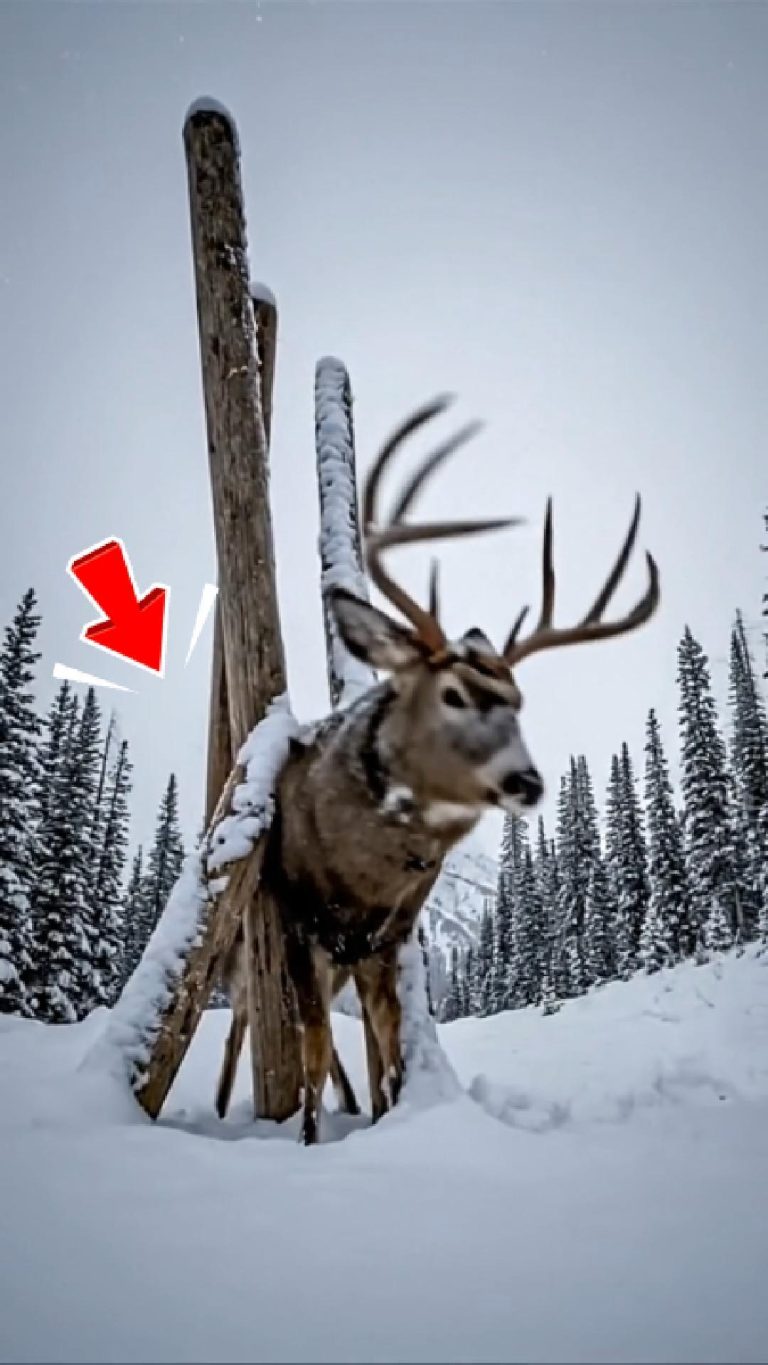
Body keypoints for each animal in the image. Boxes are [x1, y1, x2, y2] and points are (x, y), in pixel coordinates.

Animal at [216, 396, 660, 1144]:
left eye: (518, 703)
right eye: (453, 694)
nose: (527, 782)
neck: (359, 878)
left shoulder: (385, 937)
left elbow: (388, 1048)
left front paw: (385, 1115)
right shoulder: (304, 923)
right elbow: (311, 1049)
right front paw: (308, 1140)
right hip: (249, 941)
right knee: (244, 1020)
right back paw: (226, 1107)